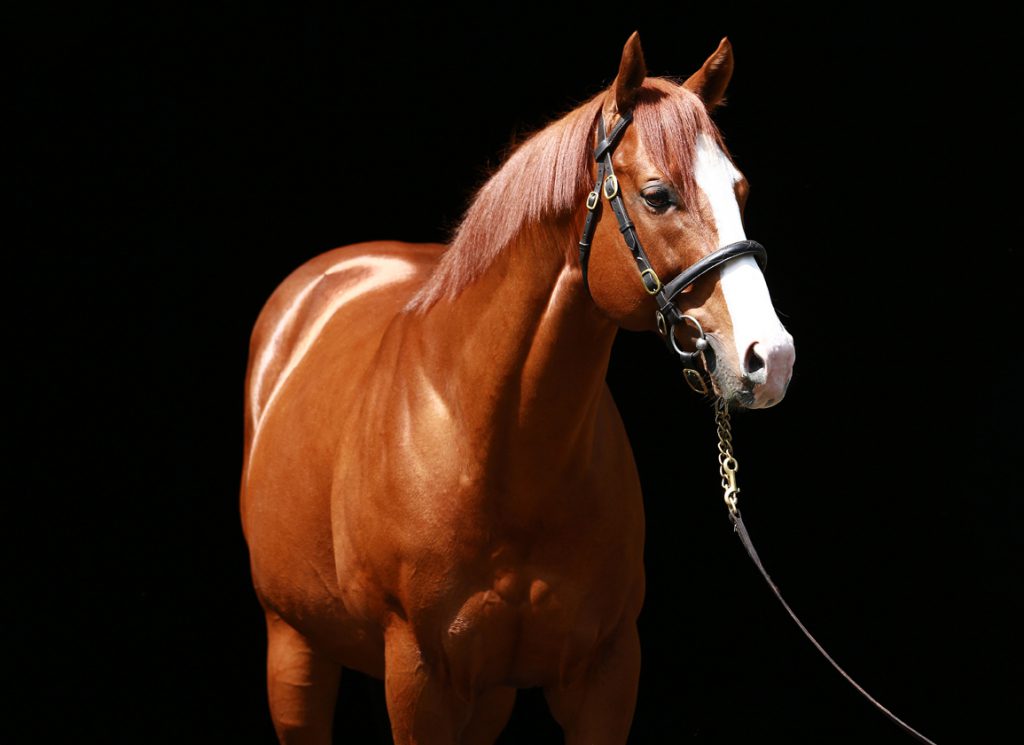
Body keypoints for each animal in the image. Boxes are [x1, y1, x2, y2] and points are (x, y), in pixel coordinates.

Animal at [240, 32, 795, 744]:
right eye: (657, 195)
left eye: (739, 189)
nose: (770, 357)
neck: (494, 447)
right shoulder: (418, 682)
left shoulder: (604, 677)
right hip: (294, 649)